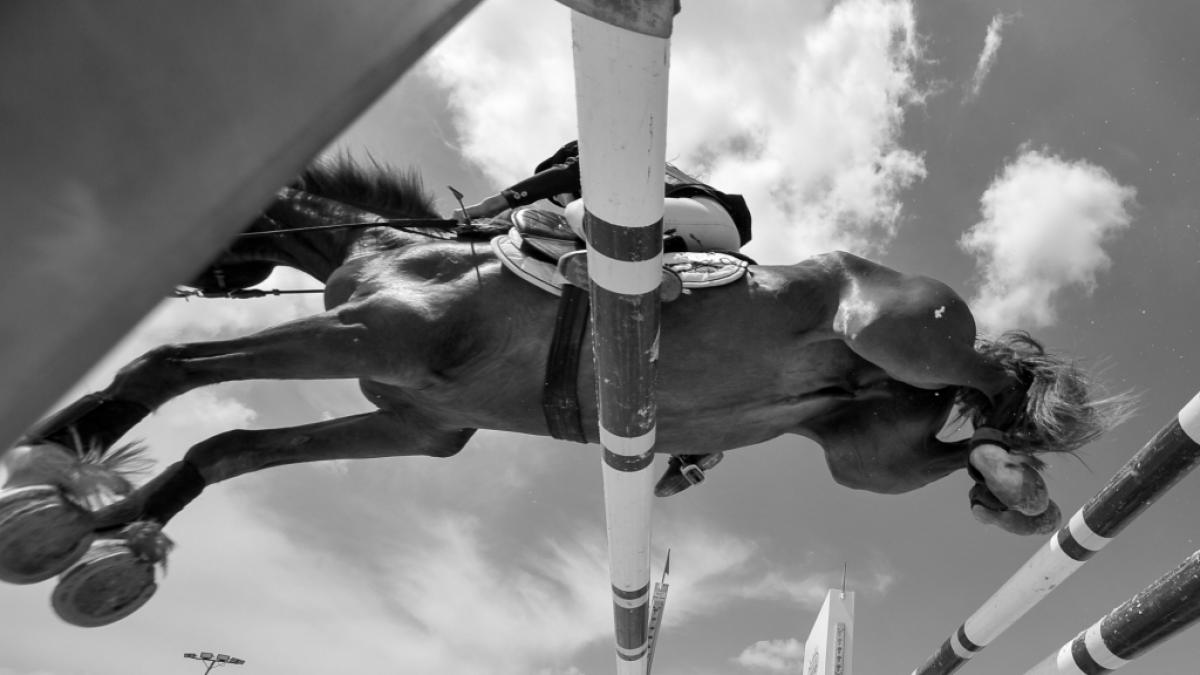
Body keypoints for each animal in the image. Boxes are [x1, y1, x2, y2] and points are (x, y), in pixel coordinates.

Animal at [0, 156, 1129, 627]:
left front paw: (60, 455)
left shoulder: (374, 337)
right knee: (954, 441)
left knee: (997, 377)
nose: (172, 279)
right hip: (866, 454)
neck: (394, 251)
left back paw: (1019, 461)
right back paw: (1008, 486)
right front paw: (110, 535)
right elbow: (221, 449)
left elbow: (162, 370)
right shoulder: (418, 421)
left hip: (894, 332)